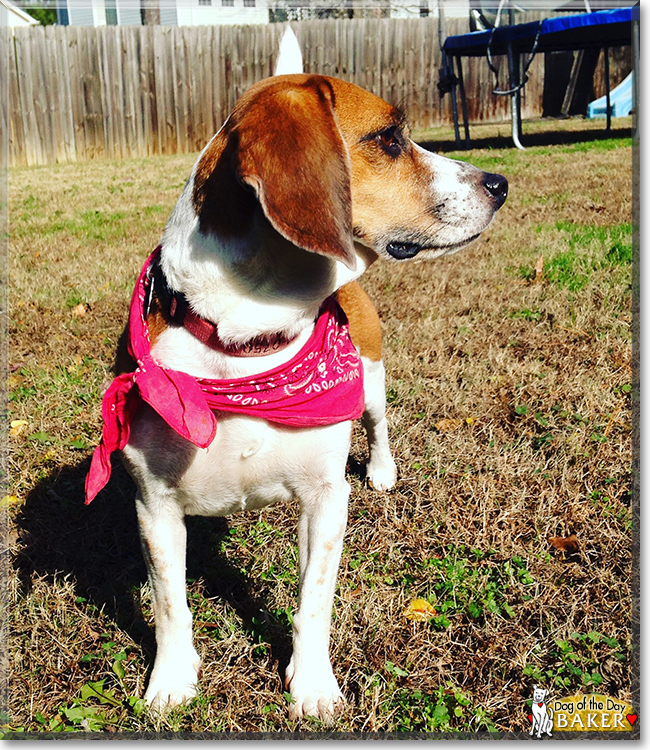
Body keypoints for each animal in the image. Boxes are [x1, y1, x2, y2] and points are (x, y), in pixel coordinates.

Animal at [92, 29, 506, 724]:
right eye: (389, 138)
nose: (499, 182)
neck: (246, 346)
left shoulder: (325, 499)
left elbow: (314, 602)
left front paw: (312, 686)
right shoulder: (155, 507)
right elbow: (172, 605)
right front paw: (171, 682)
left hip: (371, 376)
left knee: (380, 423)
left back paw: (384, 470)